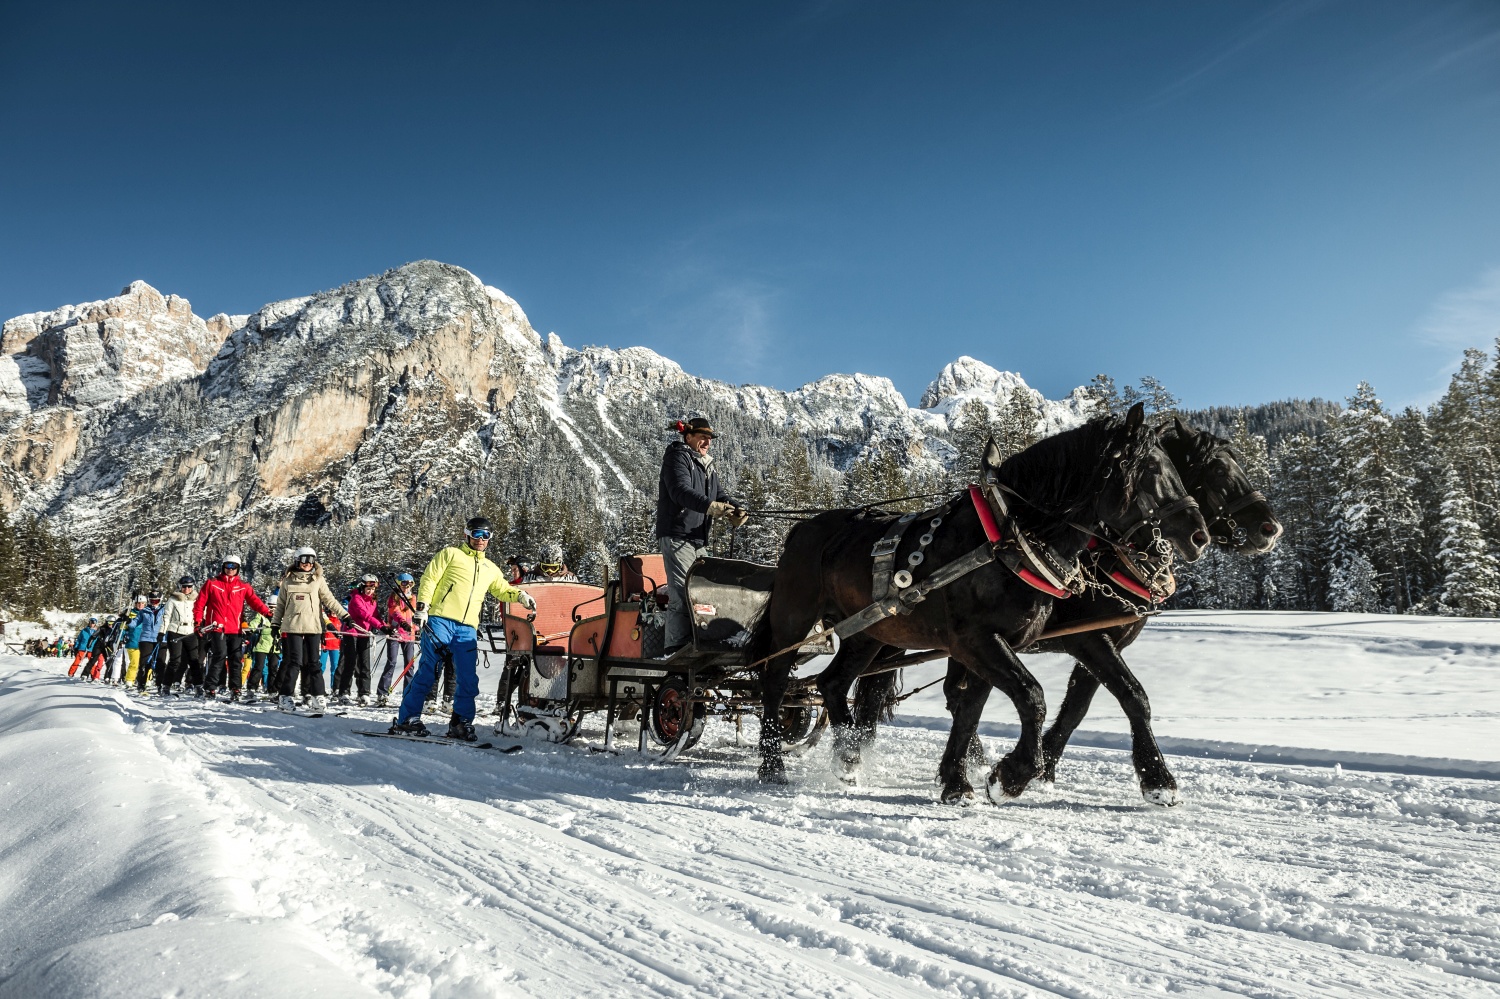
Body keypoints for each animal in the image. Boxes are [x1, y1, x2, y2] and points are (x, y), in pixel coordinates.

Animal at [744, 402, 1212, 792]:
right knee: (774, 678)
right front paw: (1014, 775)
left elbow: (980, 707)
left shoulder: (1011, 642)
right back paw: (772, 764)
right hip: (794, 618)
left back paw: (848, 758)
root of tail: (803, 528)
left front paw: (959, 780)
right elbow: (1032, 697)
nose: (1199, 536)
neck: (1007, 537)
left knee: (833, 683)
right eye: (1151, 470)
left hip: (870, 633)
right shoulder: (983, 640)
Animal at [852, 417, 1284, 804]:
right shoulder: (1087, 638)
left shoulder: (1102, 642)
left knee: (948, 695)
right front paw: (1155, 778)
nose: (1270, 528)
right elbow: (1131, 696)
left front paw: (1042, 765)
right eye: (1216, 469)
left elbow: (1080, 705)